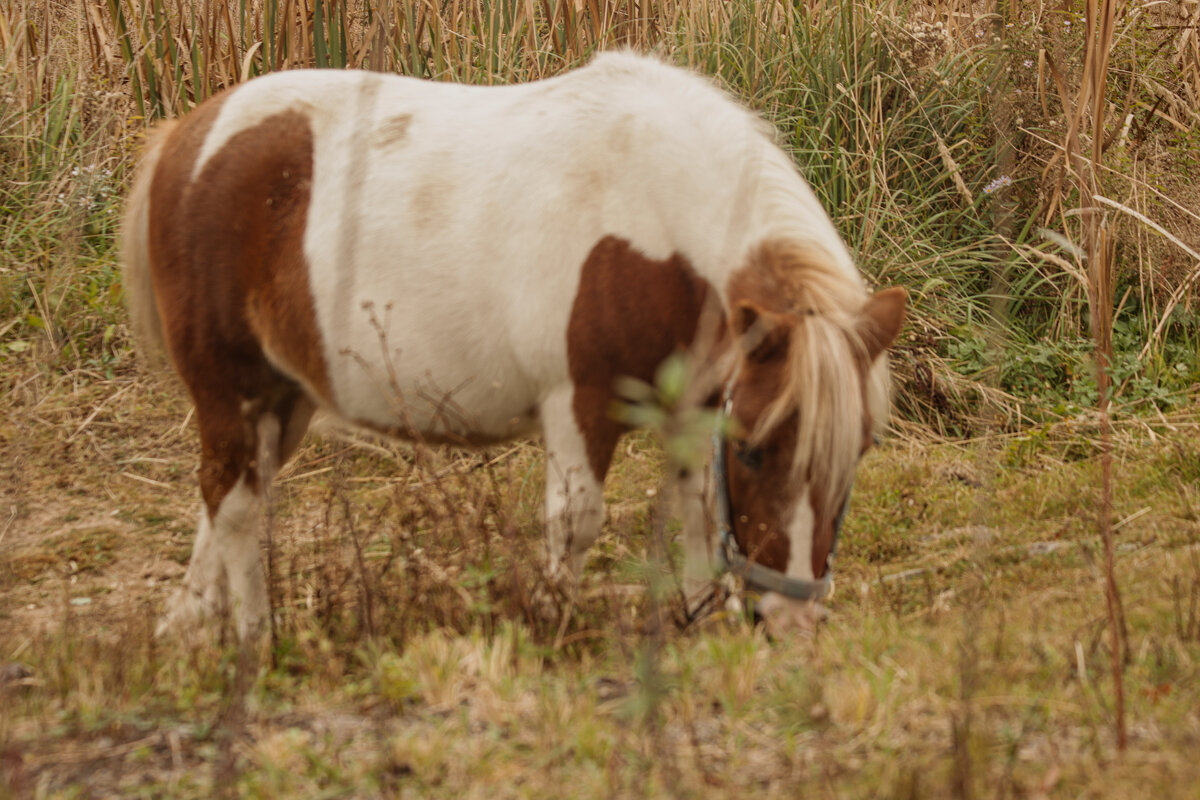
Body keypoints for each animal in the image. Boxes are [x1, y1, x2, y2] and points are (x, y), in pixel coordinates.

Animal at [121, 50, 902, 642]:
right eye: (756, 452)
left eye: (858, 451)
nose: (791, 618)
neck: (654, 215)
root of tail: (189, 135)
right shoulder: (579, 403)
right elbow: (575, 522)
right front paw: (548, 622)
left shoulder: (697, 403)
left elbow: (701, 511)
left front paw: (702, 617)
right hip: (228, 386)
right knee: (235, 502)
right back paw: (255, 638)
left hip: (282, 398)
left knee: (230, 493)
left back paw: (188, 623)